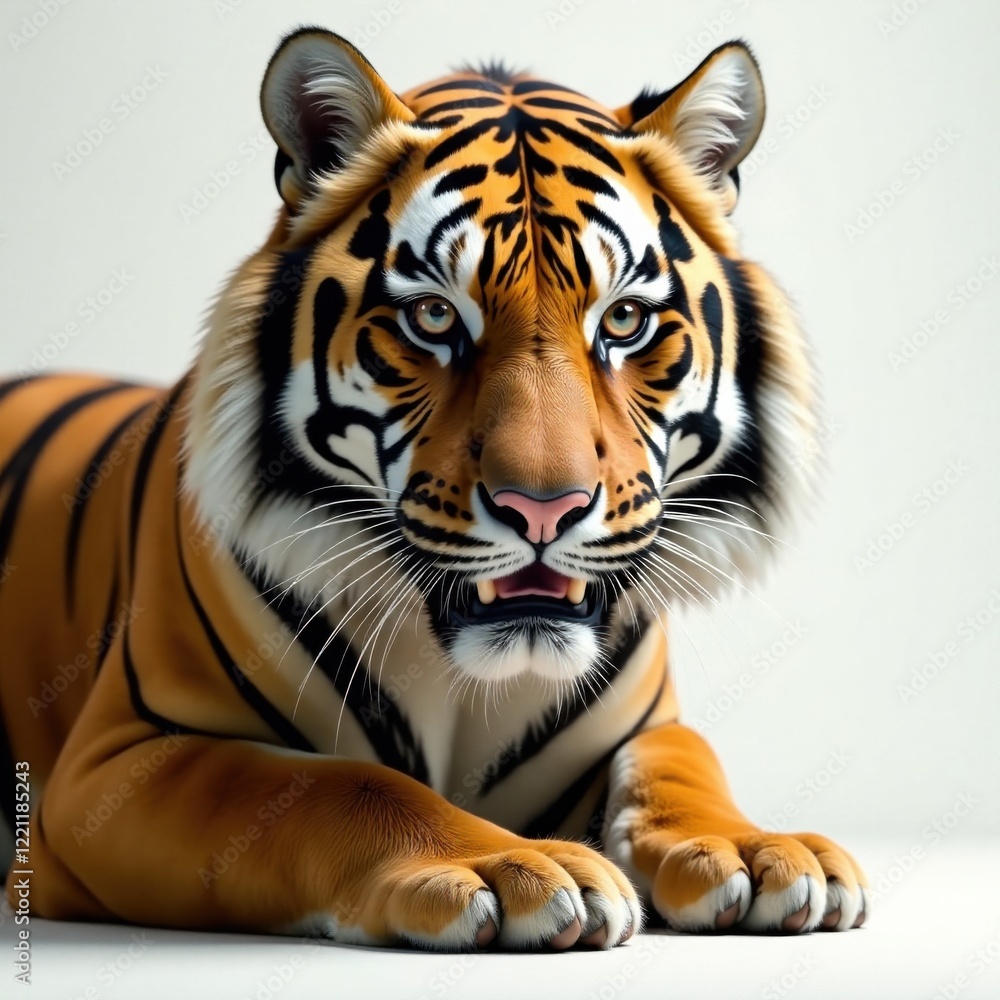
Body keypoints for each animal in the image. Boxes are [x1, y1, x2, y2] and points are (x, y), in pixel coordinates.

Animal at [0, 28, 869, 949]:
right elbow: (339, 785)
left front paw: (751, 851)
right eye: (435, 318)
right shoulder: (117, 766)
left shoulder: (645, 726)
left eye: (625, 321)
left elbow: (682, 759)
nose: (544, 507)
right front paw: (514, 866)